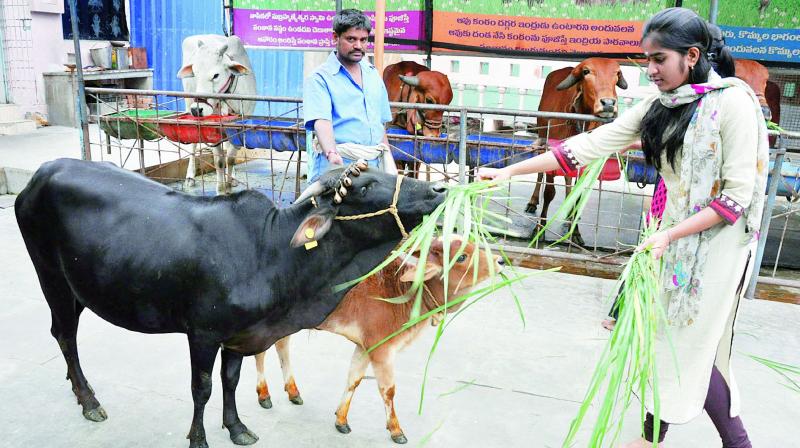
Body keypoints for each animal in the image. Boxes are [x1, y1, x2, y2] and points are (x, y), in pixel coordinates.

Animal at [14, 158, 444, 448]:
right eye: (366, 186)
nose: (438, 190)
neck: (271, 251)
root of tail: (43, 172)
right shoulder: (202, 333)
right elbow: (201, 388)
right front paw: (198, 438)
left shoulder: (241, 333)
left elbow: (231, 379)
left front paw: (237, 428)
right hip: (51, 278)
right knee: (64, 335)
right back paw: (88, 400)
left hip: (77, 289)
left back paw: (79, 390)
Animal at [177, 35, 256, 194]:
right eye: (195, 73)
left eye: (215, 75)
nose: (197, 109)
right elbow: (219, 161)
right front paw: (221, 190)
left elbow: (230, 159)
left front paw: (229, 185)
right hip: (188, 102)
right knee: (193, 144)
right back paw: (190, 176)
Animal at [253, 240, 500, 442]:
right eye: (462, 257)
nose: (499, 260)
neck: (403, 291)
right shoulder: (382, 349)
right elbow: (388, 390)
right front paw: (396, 431)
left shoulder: (364, 347)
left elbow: (354, 379)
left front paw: (341, 420)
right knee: (260, 352)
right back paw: (264, 395)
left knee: (282, 345)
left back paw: (293, 392)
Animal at [528, 58, 628, 245]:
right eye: (586, 72)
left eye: (617, 73)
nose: (609, 103)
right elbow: (549, 192)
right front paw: (540, 229)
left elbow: (578, 194)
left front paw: (575, 232)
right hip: (541, 136)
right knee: (539, 174)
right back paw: (532, 202)